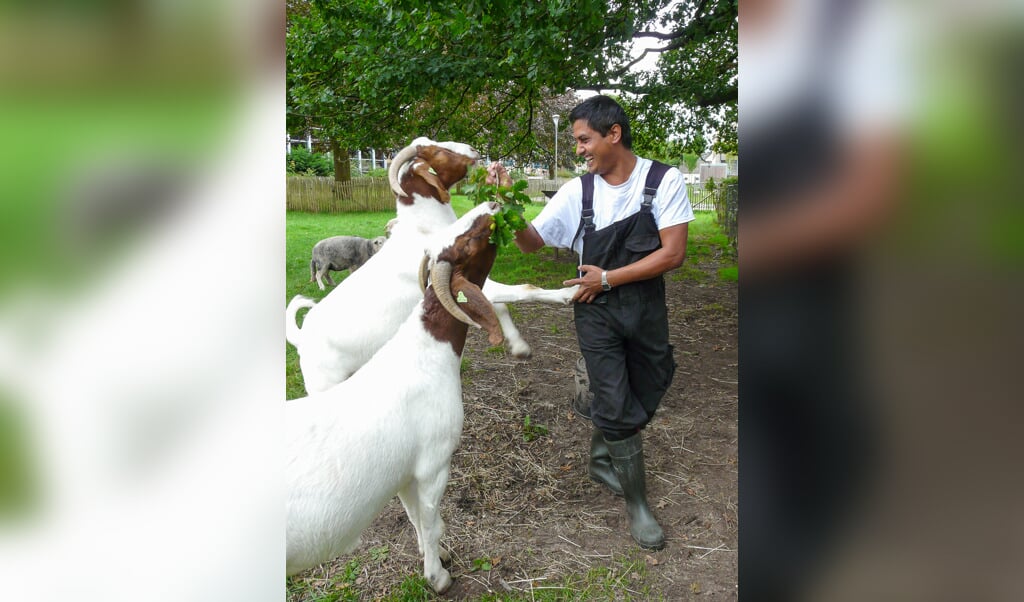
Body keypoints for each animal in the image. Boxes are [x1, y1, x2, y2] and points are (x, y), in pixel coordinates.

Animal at [286, 200, 505, 593]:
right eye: (466, 244)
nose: (493, 203)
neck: (424, 354)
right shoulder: (433, 464)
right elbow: (431, 520)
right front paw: (438, 576)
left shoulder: (403, 472)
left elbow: (414, 514)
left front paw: (435, 553)